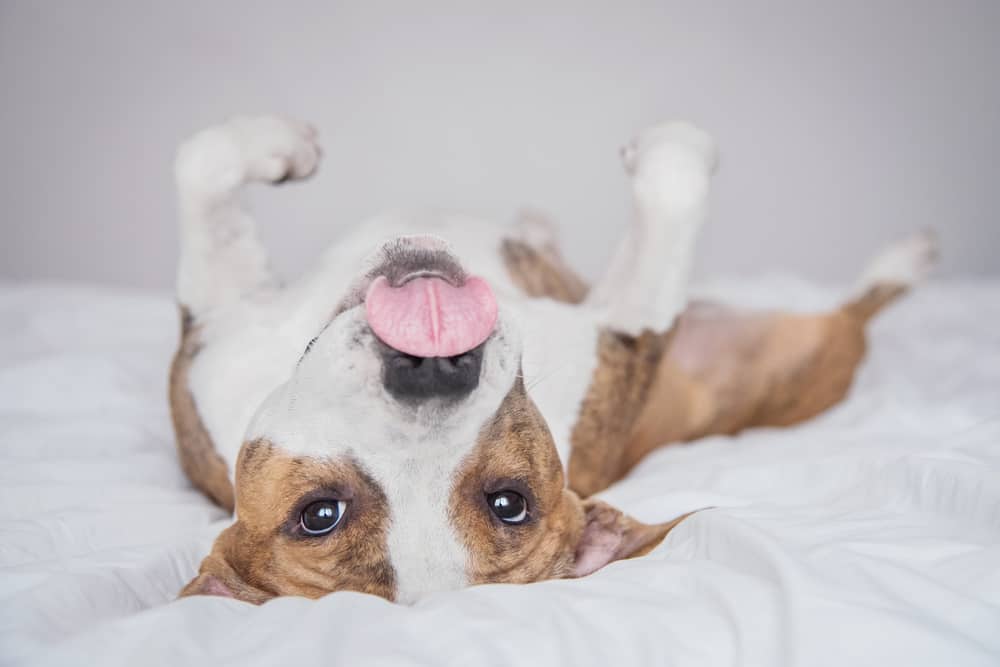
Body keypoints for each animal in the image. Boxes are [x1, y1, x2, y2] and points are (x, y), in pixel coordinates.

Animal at [172, 115, 936, 604]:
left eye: (509, 502)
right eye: (320, 513)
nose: (433, 367)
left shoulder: (216, 325)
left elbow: (200, 164)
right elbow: (671, 196)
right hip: (813, 354)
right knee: (859, 309)